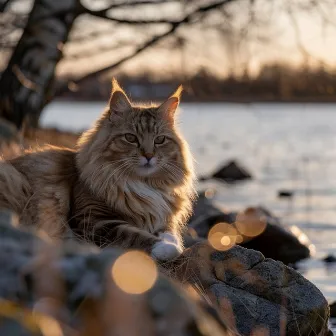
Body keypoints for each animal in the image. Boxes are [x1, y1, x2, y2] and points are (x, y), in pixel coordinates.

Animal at [0, 80, 196, 262]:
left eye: (160, 140)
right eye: (130, 138)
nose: (149, 155)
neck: (142, 185)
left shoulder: (164, 217)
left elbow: (171, 233)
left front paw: (171, 242)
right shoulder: (95, 220)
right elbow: (135, 235)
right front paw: (165, 248)